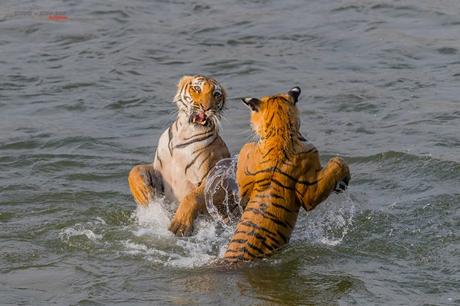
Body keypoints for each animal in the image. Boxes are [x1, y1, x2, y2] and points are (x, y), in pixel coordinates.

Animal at [127, 74, 230, 237]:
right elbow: (135, 170)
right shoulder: (159, 172)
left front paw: (180, 224)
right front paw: (142, 193)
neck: (184, 133)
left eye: (216, 94)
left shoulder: (217, 178)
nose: (206, 108)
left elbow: (193, 196)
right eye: (197, 88)